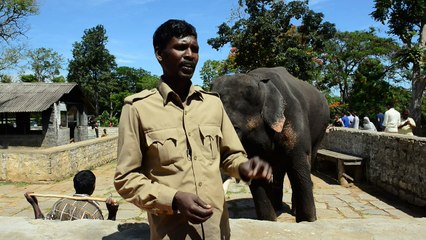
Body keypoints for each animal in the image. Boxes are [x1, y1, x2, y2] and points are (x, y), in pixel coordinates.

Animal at [213, 66, 330, 222]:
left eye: (235, 129)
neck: (259, 79)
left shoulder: (293, 117)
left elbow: (299, 166)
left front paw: (308, 221)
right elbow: (255, 171)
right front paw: (269, 220)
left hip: (321, 130)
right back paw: (277, 206)